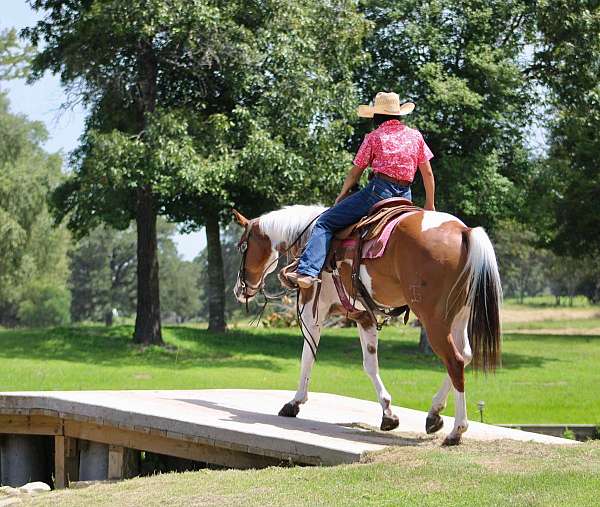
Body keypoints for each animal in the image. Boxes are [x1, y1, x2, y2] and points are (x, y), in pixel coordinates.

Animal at [231, 204, 502, 446]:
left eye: (243, 246)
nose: (239, 290)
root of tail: (463, 231)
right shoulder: (363, 316)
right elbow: (371, 364)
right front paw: (388, 414)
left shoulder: (311, 310)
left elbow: (307, 356)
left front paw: (294, 403)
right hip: (458, 317)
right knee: (465, 355)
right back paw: (434, 414)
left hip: (433, 320)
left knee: (454, 360)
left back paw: (457, 430)